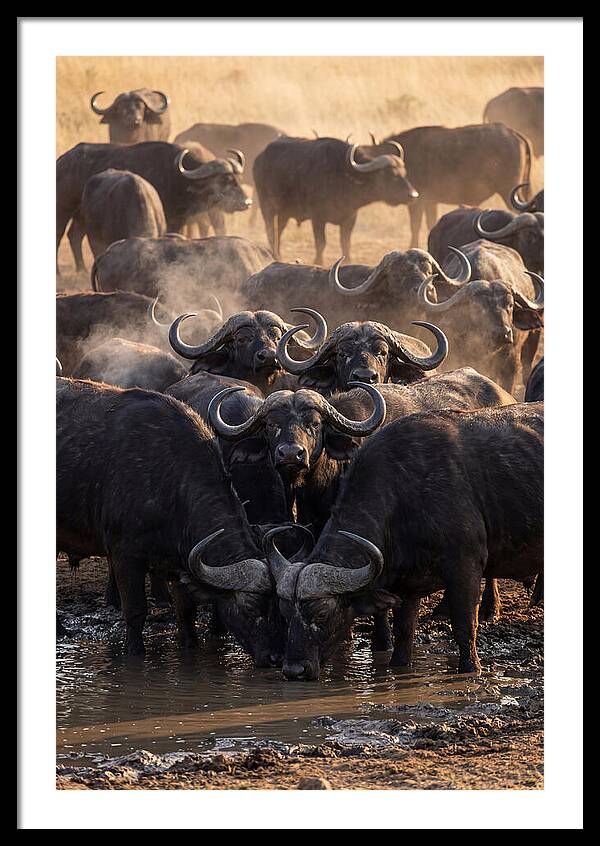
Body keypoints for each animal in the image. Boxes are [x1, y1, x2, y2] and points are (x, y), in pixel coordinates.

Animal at [56, 377, 283, 665]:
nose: (276, 657)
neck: (171, 480)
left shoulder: (179, 560)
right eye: (251, 607)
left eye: (279, 607)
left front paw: (189, 645)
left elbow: (185, 612)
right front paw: (134, 654)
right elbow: (136, 612)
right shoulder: (124, 554)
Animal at [253, 136, 418, 264]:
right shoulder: (318, 218)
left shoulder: (350, 217)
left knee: (279, 230)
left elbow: (345, 242)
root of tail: (259, 158)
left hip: (284, 213)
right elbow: (321, 243)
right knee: (270, 232)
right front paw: (318, 261)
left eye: (404, 172)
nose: (413, 195)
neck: (343, 176)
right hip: (266, 206)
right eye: (390, 174)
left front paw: (348, 260)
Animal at [264, 402, 543, 680]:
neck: (405, 495)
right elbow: (403, 634)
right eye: (285, 613)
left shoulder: (465, 566)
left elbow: (465, 627)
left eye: (322, 613)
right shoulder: (406, 586)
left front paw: (471, 669)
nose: (294, 670)